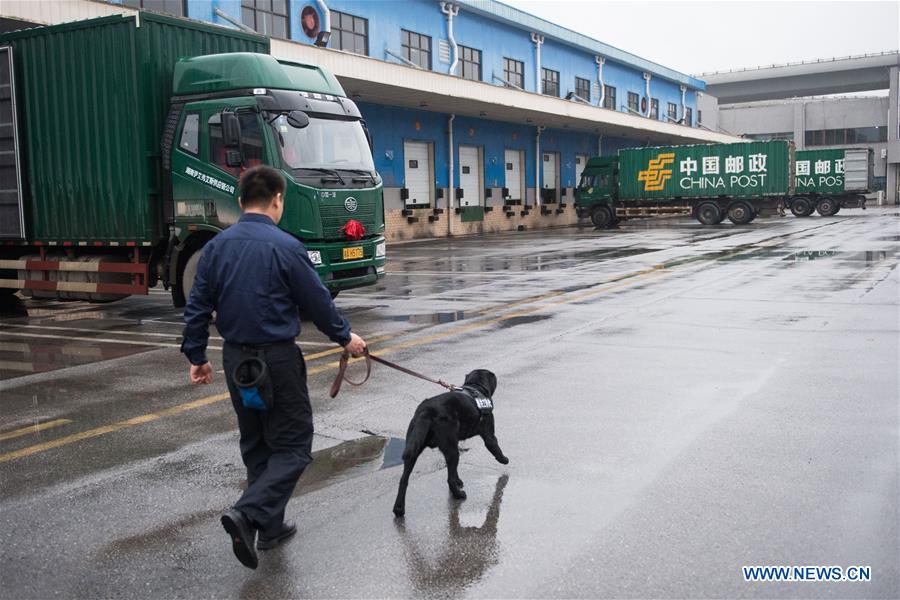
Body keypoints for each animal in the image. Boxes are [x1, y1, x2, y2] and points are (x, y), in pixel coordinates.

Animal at [392, 368, 510, 516]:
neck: (475, 387)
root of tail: (427, 410)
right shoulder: (489, 435)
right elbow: (495, 448)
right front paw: (504, 459)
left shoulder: (455, 442)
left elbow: (454, 471)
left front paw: (459, 480)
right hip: (451, 450)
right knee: (449, 480)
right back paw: (459, 495)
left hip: (414, 448)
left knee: (404, 479)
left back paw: (399, 508)